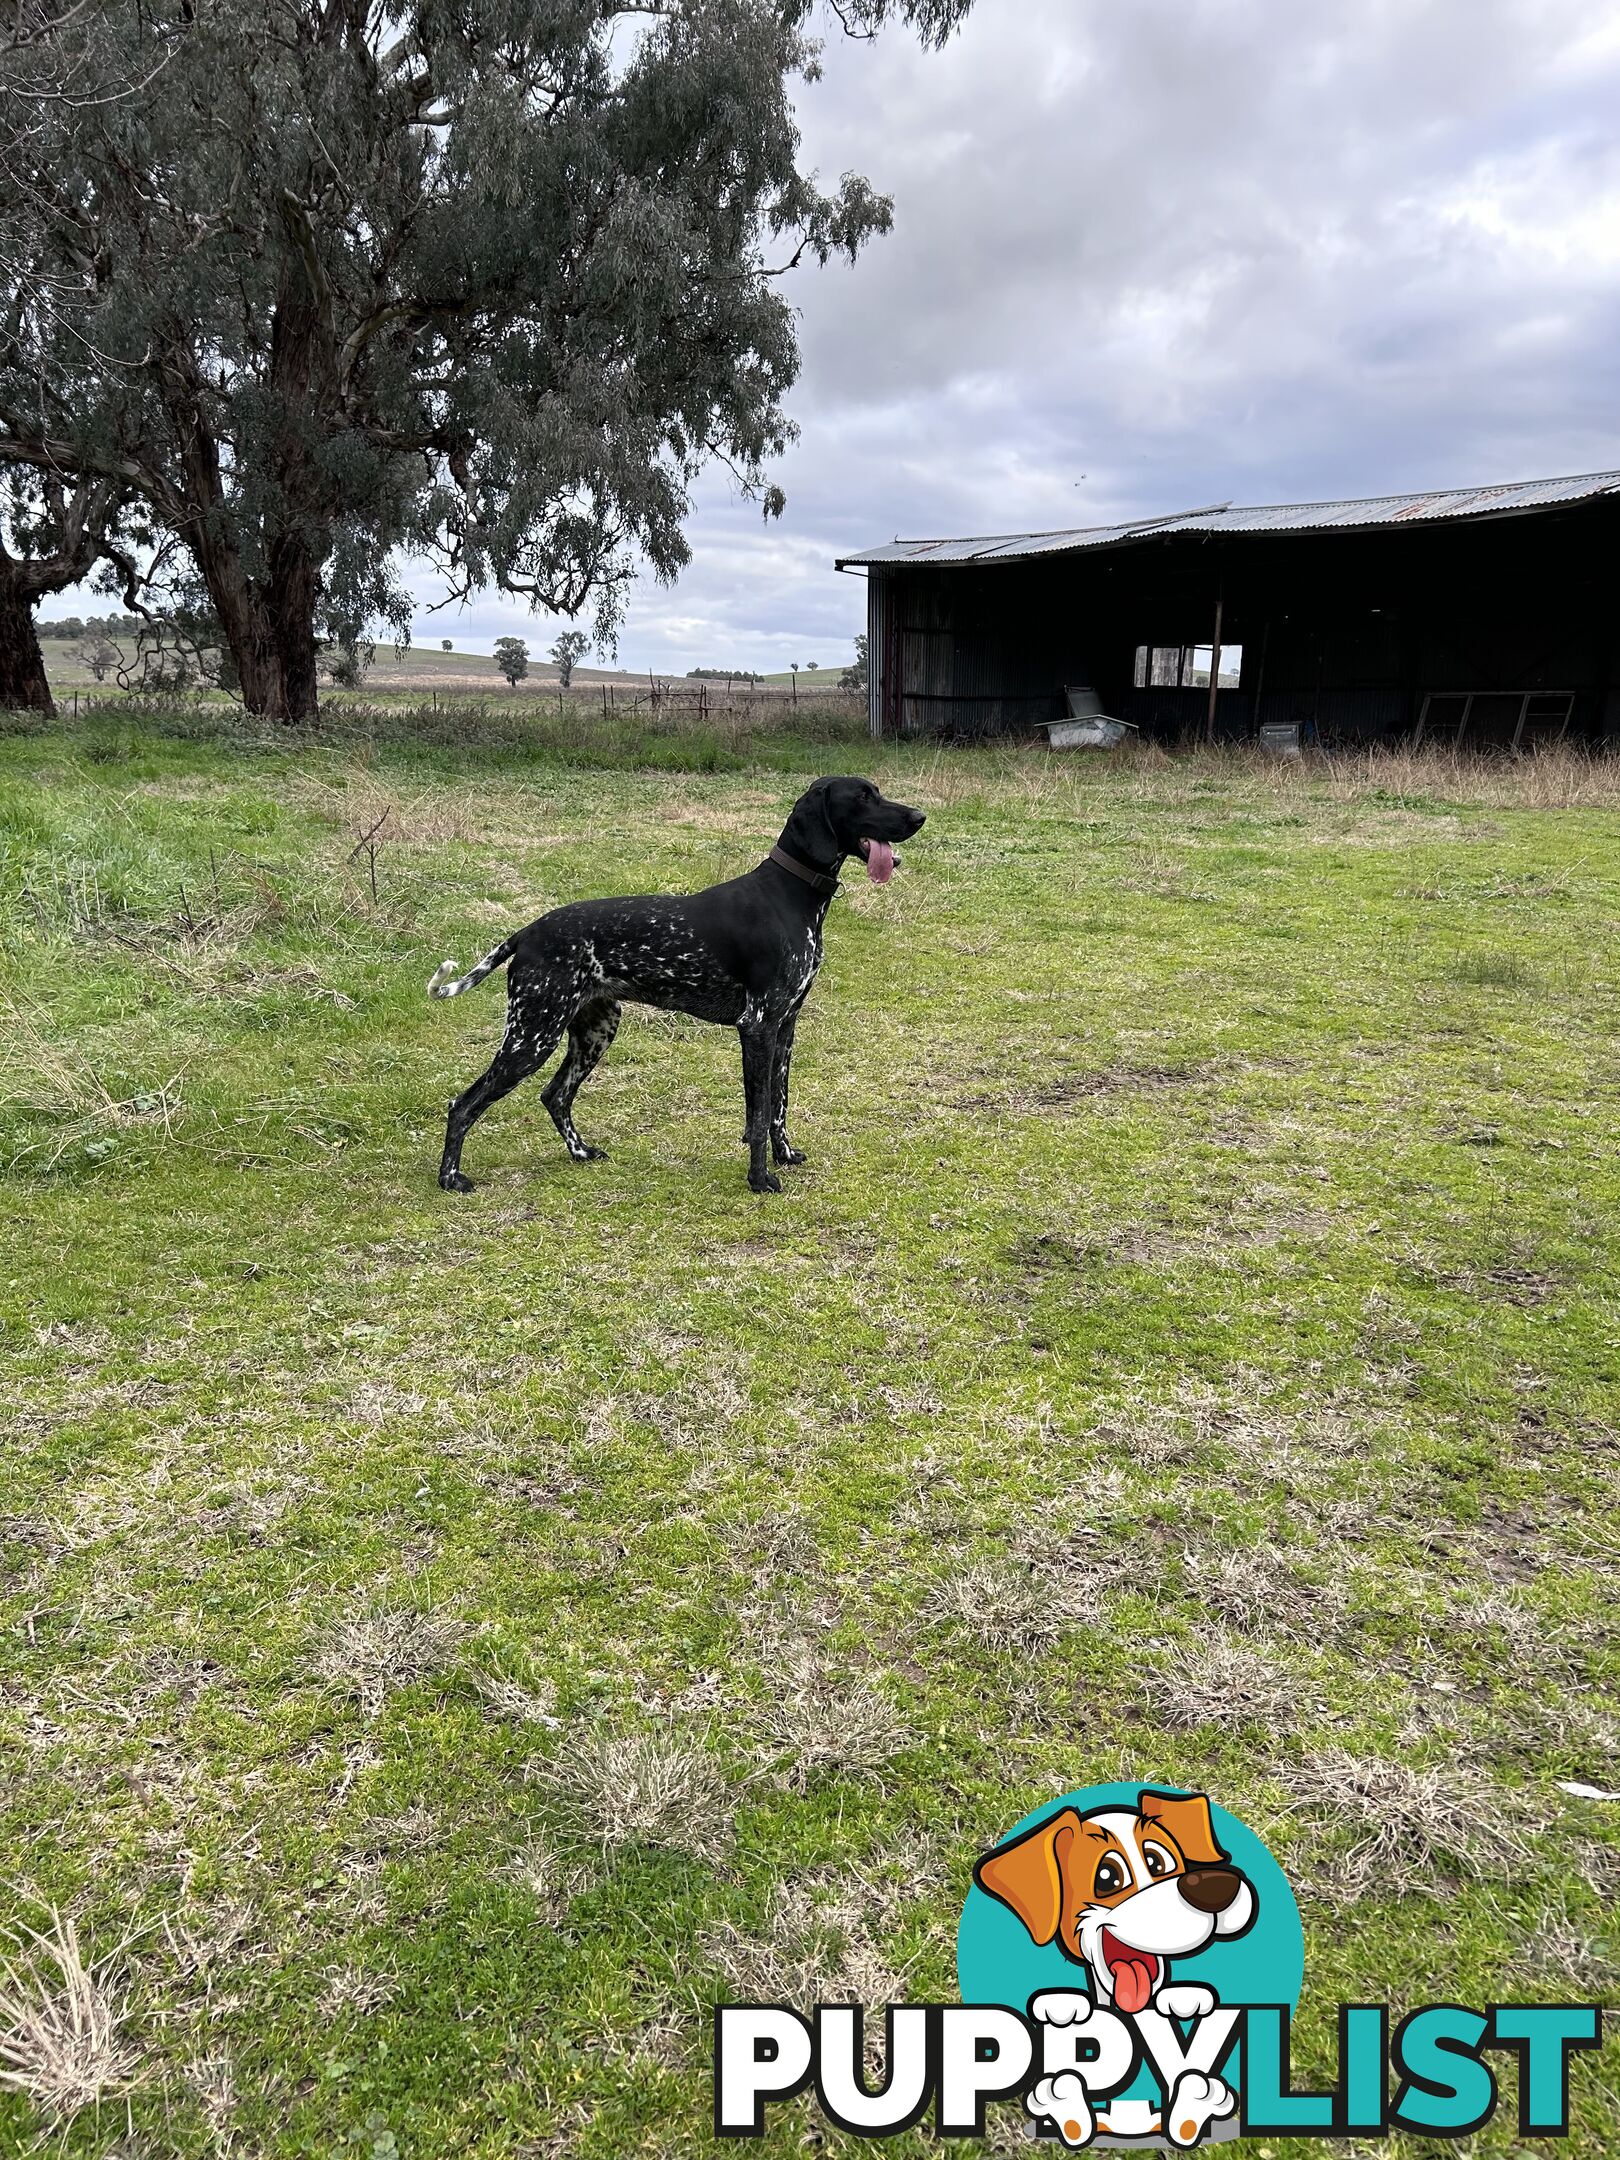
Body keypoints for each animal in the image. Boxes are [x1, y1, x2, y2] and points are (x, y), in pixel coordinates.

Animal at [427, 777, 924, 1192]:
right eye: (863, 797)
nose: (919, 816)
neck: (790, 895)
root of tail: (528, 931)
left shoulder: (785, 1027)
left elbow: (778, 1106)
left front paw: (783, 1156)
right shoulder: (758, 1026)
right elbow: (759, 1114)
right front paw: (760, 1179)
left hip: (594, 1030)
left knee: (555, 1095)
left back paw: (580, 1152)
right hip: (532, 1035)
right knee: (463, 1104)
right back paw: (450, 1178)